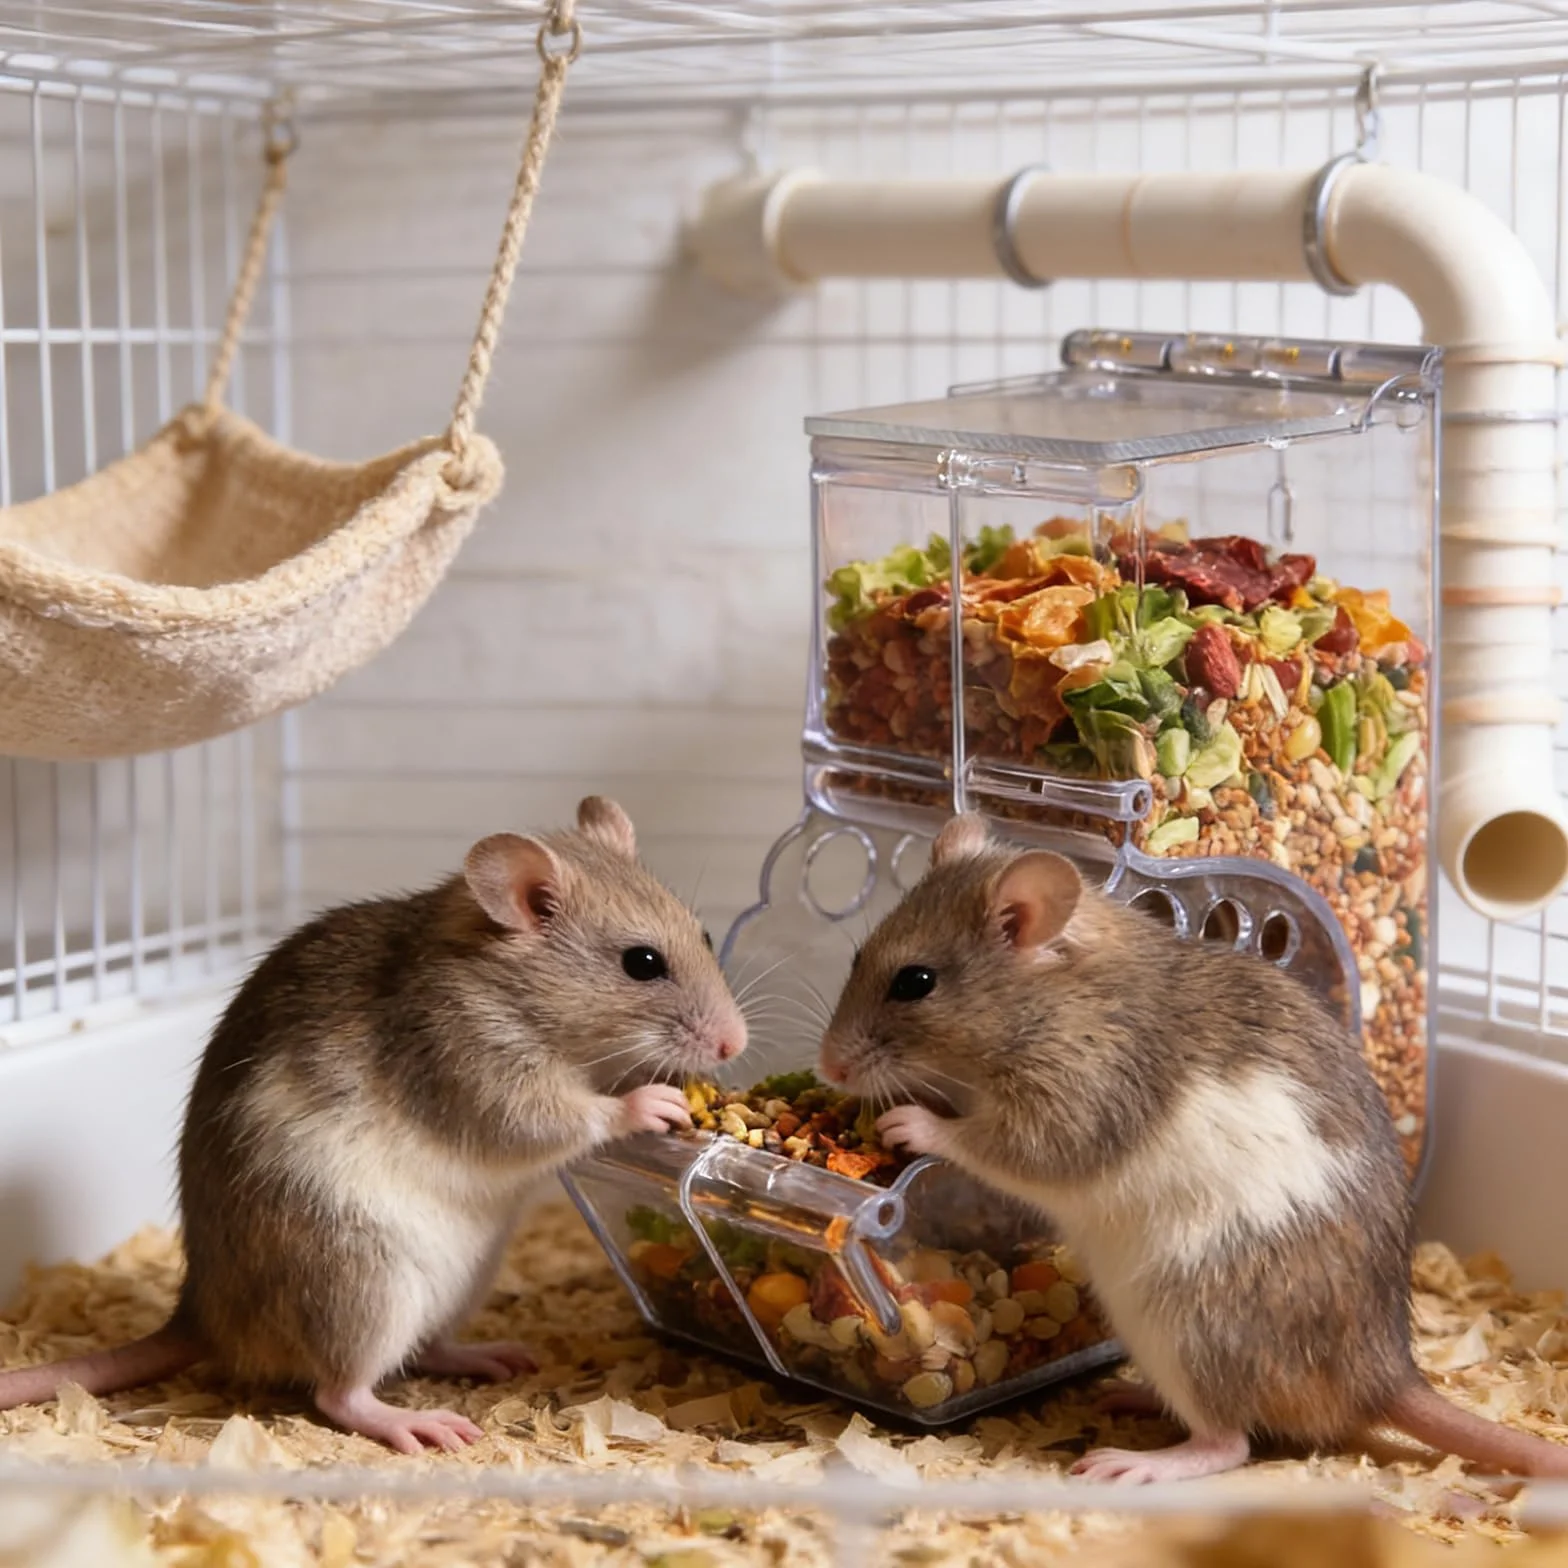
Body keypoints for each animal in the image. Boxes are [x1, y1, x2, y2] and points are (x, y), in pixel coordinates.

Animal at [0, 796, 745, 1454]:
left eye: (706, 935)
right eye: (642, 963)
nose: (735, 1043)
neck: (505, 985)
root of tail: (200, 1320)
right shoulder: (477, 1069)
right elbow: (559, 1117)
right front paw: (652, 1105)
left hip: (461, 1279)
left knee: (426, 1347)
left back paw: (489, 1356)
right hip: (365, 1287)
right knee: (340, 1393)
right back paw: (416, 1424)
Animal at [820, 811, 1568, 1485]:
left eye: (915, 982)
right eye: (856, 957)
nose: (829, 1068)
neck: (1058, 998)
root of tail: (1383, 1381)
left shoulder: (1067, 1108)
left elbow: (990, 1144)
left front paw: (910, 1126)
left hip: (1182, 1330)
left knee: (1228, 1444)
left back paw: (1135, 1463)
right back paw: (1127, 1395)